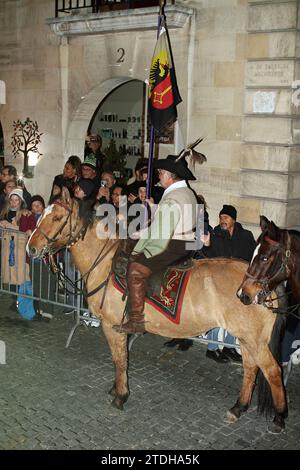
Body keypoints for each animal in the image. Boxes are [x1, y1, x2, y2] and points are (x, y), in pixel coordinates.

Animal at [27, 191, 288, 434]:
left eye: (57, 217)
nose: (31, 247)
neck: (105, 263)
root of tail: (264, 283)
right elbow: (119, 359)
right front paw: (116, 389)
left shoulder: (112, 327)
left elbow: (119, 360)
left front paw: (120, 395)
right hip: (246, 338)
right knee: (251, 369)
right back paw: (238, 407)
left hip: (254, 340)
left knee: (273, 371)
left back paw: (279, 417)